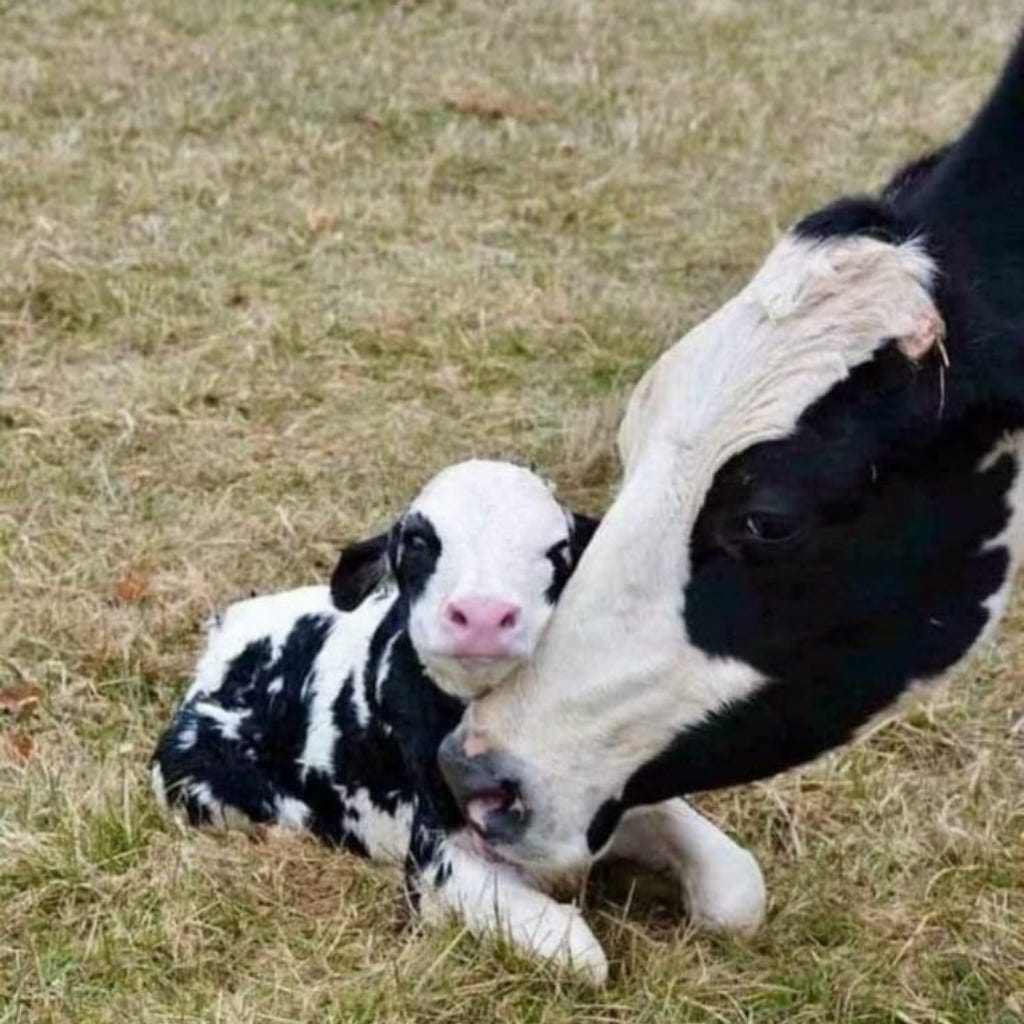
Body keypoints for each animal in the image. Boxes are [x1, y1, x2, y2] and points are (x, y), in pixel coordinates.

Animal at [152, 460, 766, 983]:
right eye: (419, 541)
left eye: (559, 549)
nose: (484, 615)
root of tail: (227, 632)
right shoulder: (435, 862)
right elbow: (577, 953)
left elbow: (740, 891)